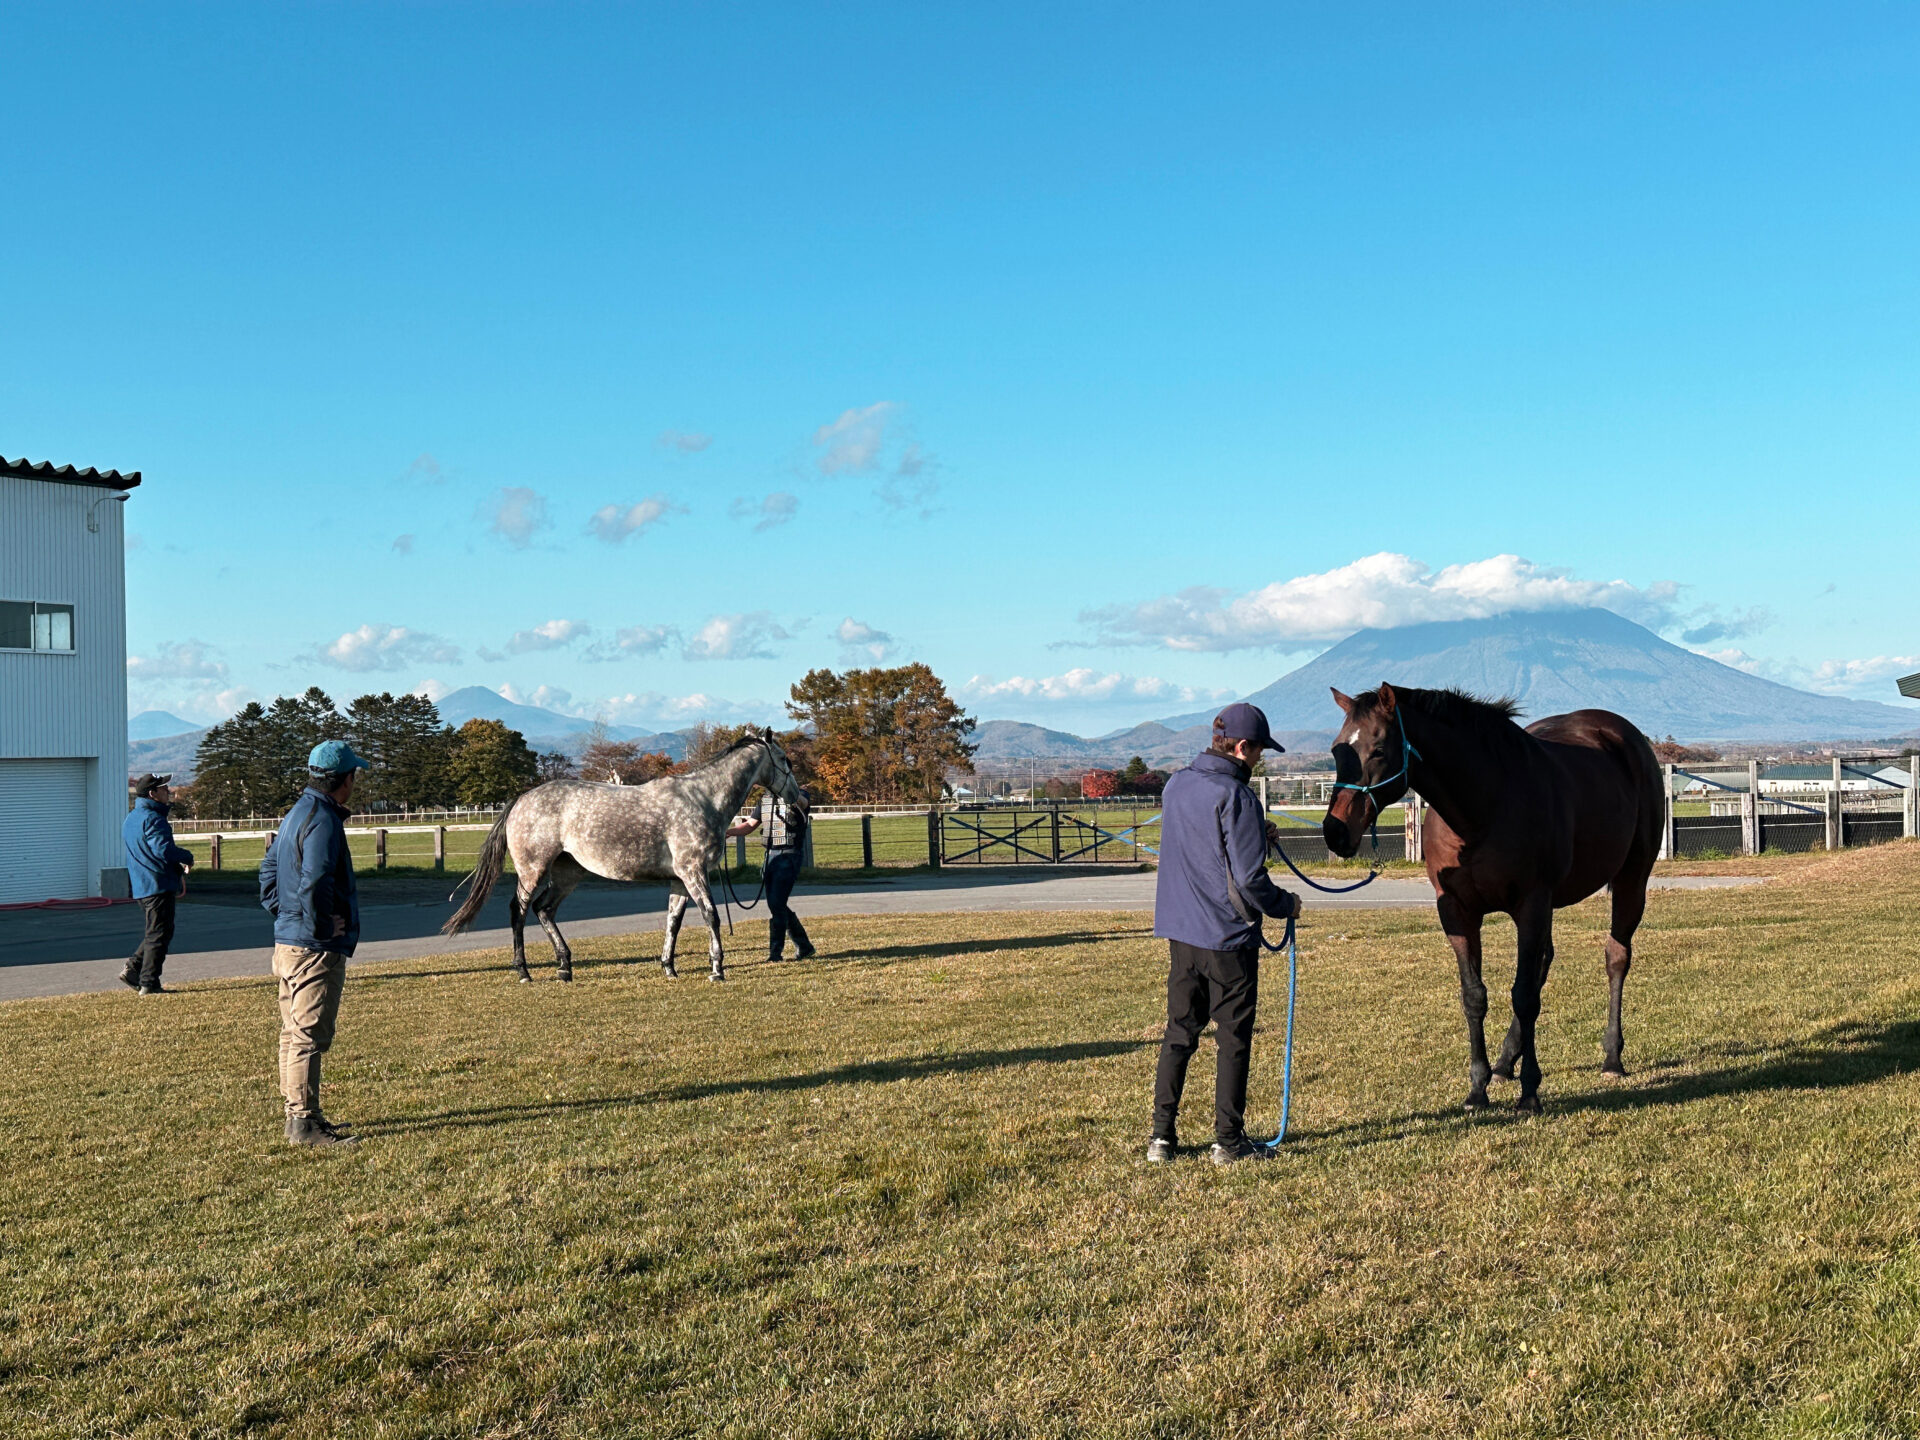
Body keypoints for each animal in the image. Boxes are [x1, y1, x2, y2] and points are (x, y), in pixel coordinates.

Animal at [1328, 687, 1658, 1113]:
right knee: (1544, 963)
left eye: (1379, 749)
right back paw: (1504, 1063)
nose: (1334, 832)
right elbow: (1475, 996)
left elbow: (1523, 996)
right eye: (1337, 750)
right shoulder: (1457, 911)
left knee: (1615, 958)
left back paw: (1612, 1058)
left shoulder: (1531, 905)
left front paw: (1530, 1092)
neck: (1481, 810)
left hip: (1632, 879)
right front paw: (1477, 1088)